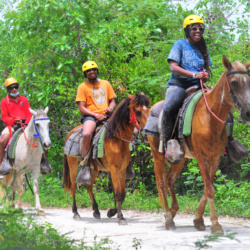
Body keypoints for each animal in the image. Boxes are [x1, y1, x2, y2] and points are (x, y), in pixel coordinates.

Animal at [63, 93, 149, 225]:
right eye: (138, 111)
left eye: (148, 109)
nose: (146, 132)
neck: (117, 140)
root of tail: (70, 133)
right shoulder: (114, 169)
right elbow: (118, 193)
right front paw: (120, 218)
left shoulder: (122, 169)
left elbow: (122, 193)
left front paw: (113, 212)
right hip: (73, 165)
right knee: (73, 186)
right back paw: (76, 213)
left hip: (94, 168)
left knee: (89, 186)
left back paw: (96, 211)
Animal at [147, 55, 249, 233]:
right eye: (234, 82)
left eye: (249, 81)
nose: (248, 113)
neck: (209, 118)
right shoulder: (201, 157)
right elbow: (209, 189)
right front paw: (215, 224)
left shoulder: (215, 157)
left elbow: (208, 188)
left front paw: (199, 219)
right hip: (157, 153)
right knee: (161, 182)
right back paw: (168, 219)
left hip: (180, 158)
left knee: (170, 178)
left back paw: (173, 211)